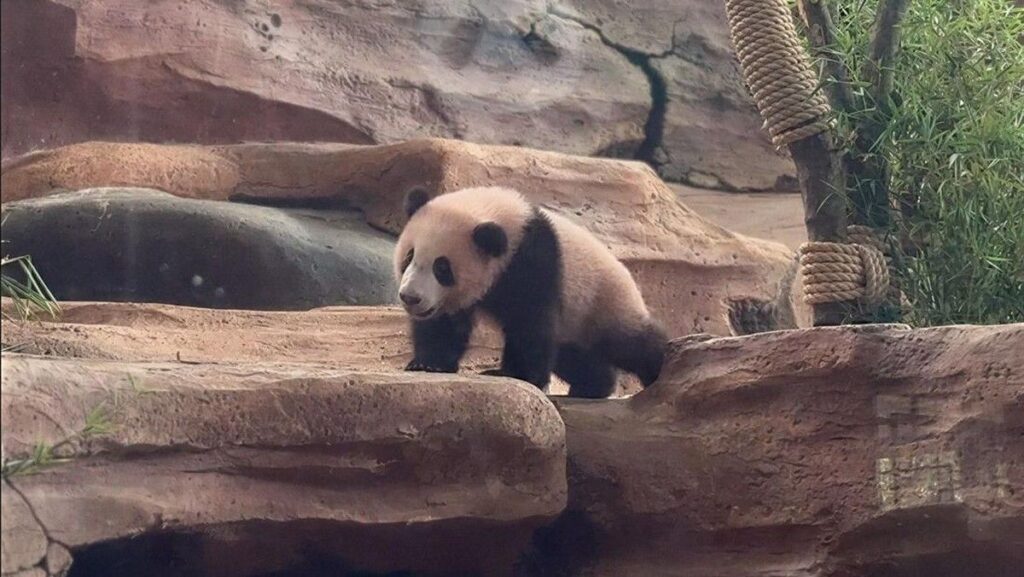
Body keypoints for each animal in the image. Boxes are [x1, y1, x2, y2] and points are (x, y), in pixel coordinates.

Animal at [394, 185, 667, 398]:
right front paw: (429, 363)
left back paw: (662, 368)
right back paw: (594, 385)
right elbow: (444, 325)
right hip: (574, 325)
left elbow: (529, 321)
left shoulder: (533, 260)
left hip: (602, 302)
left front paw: (517, 374)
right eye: (409, 257)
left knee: (632, 343)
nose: (410, 297)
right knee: (574, 355)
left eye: (442, 268)